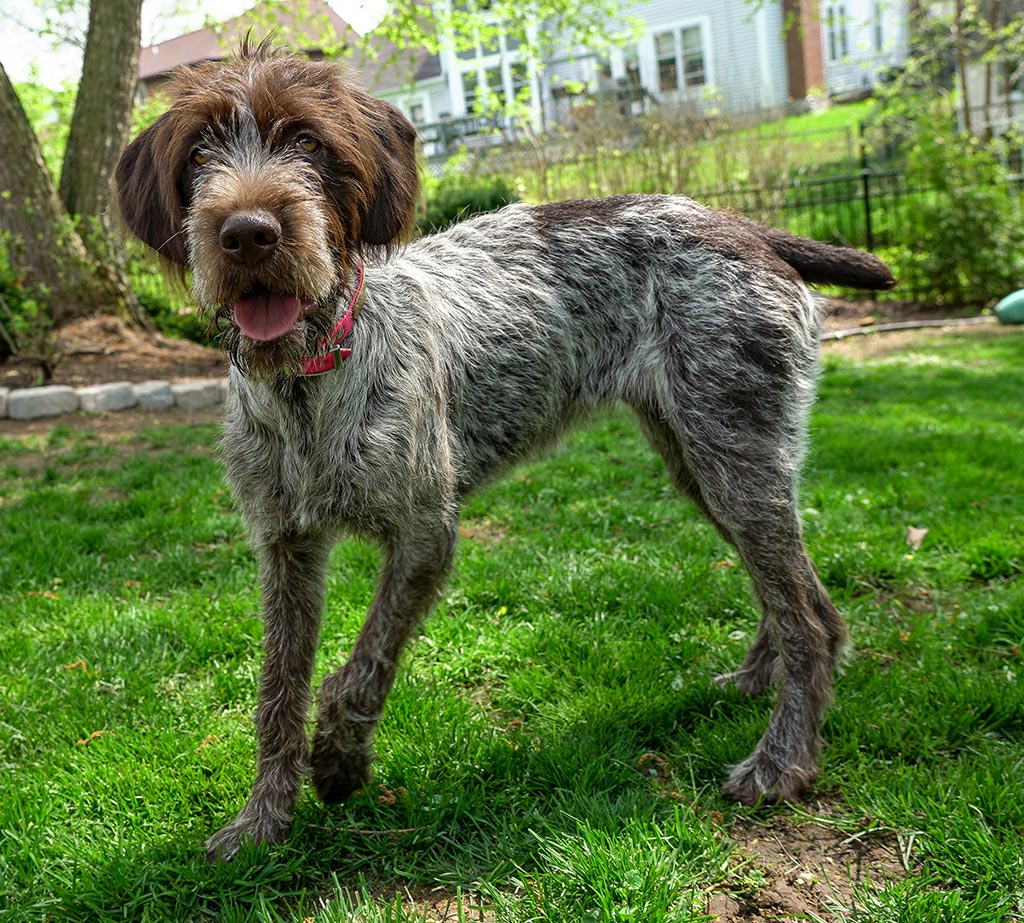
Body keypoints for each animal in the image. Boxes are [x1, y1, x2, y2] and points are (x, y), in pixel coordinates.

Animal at [116, 43, 892, 856]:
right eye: (198, 152)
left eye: (307, 143)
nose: (247, 233)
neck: (309, 380)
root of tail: (749, 229)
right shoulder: (285, 545)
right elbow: (279, 686)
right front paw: (264, 815)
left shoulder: (425, 534)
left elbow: (359, 669)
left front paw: (339, 762)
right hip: (703, 466)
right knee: (798, 598)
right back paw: (753, 684)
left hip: (736, 459)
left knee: (809, 618)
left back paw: (782, 760)